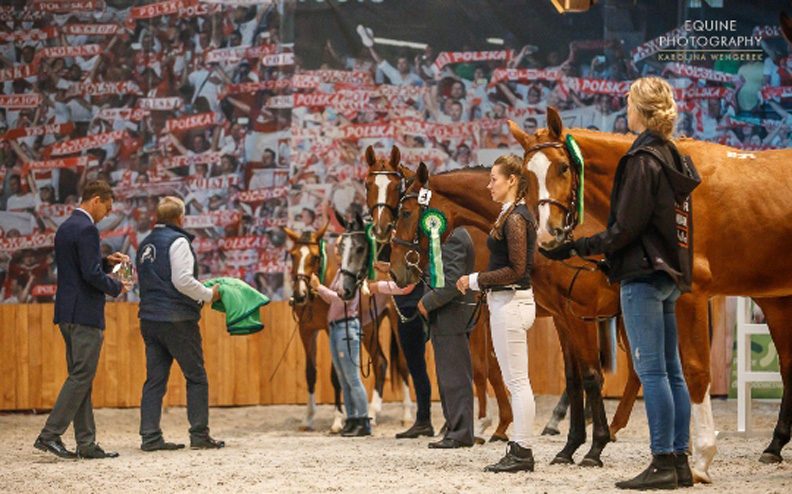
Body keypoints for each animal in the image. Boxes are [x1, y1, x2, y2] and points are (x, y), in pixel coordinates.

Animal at [365, 146, 513, 444]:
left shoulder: (478, 307)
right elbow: (489, 364)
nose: (381, 229)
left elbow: (482, 364)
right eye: (367, 185)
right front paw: (495, 424)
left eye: (395, 188)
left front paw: (485, 424)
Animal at [387, 158, 621, 467]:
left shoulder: (580, 317)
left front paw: (594, 449)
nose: (395, 272)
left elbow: (591, 376)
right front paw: (569, 448)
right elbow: (573, 379)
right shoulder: (562, 318)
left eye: (405, 213)